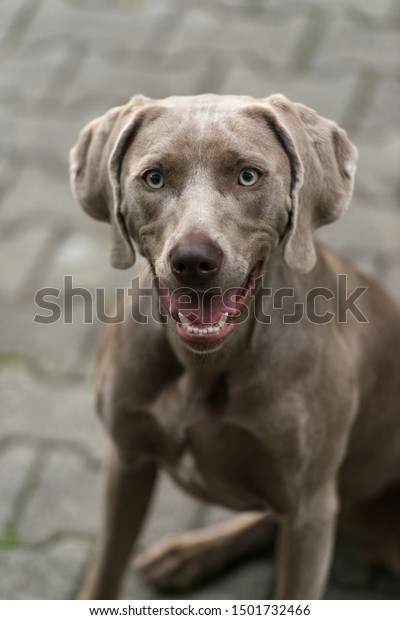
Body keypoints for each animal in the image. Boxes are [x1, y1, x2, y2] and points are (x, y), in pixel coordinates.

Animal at [69, 94, 400, 600]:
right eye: (154, 177)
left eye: (248, 176)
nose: (193, 261)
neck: (202, 367)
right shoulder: (126, 462)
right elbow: (105, 572)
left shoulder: (309, 508)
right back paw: (186, 556)